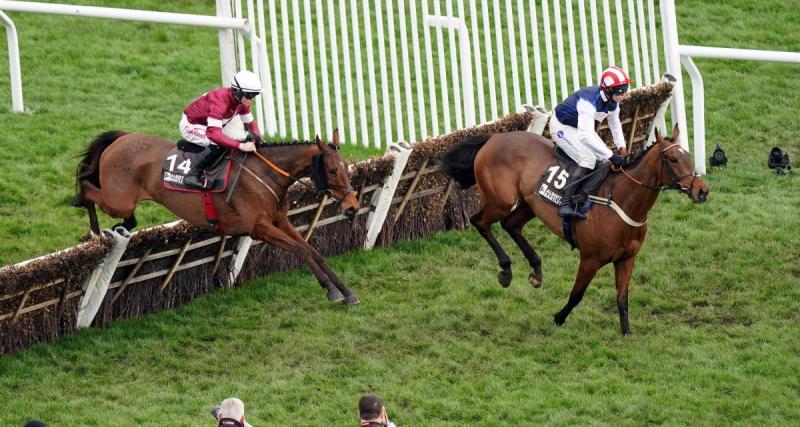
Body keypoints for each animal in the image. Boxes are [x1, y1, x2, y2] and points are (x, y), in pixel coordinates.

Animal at [71, 130, 360, 304]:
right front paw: (331, 290)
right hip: (118, 200)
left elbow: (313, 251)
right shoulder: (259, 227)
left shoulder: (281, 221)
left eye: (345, 167)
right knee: (86, 187)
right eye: (332, 170)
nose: (353, 207)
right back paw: (95, 231)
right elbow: (301, 251)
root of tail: (122, 137)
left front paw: (346, 291)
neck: (267, 175)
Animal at [440, 125, 708, 336]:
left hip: (528, 203)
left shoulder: (627, 258)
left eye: (689, 155)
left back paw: (536, 270)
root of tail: (494, 138)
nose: (702, 191)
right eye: (673, 159)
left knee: (511, 225)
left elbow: (622, 298)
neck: (621, 201)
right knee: (480, 222)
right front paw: (558, 317)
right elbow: (577, 294)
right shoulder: (590, 258)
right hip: (500, 201)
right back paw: (506, 270)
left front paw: (626, 332)